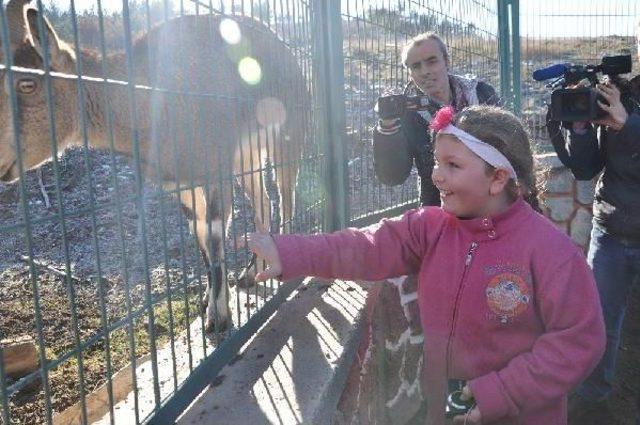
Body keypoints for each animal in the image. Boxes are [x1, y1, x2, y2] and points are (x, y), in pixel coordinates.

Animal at [0, 0, 308, 332]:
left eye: (27, 83)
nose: (2, 160)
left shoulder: (215, 165)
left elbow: (215, 237)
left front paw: (219, 317)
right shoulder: (179, 181)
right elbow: (199, 233)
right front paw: (207, 302)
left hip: (286, 134)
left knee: (286, 194)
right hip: (246, 157)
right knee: (263, 201)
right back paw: (252, 273)